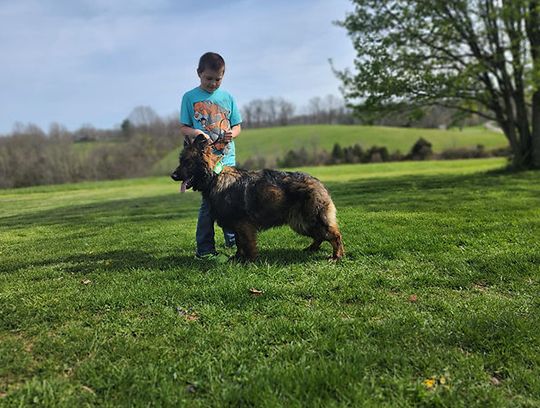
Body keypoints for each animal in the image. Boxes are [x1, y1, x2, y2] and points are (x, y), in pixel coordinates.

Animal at [171, 134, 344, 262]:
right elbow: (239, 244)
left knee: (334, 235)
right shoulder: (237, 225)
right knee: (320, 235)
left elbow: (247, 244)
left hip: (311, 219)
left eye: (188, 162)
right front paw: (238, 258)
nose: (173, 176)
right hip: (301, 222)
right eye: (180, 161)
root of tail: (318, 182)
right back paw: (312, 249)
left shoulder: (243, 225)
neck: (215, 176)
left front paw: (250, 261)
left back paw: (336, 256)